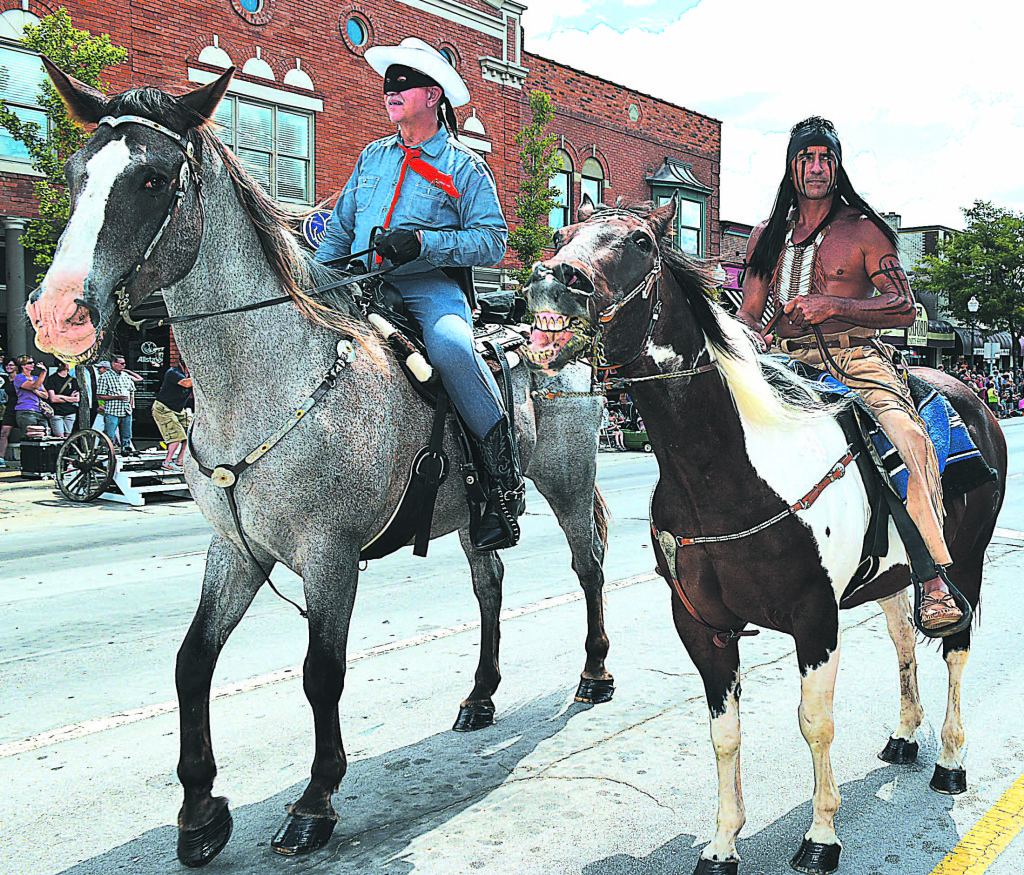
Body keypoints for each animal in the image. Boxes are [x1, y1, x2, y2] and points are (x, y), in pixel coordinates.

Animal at [28, 65, 610, 864]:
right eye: (74, 172)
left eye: (152, 178)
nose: (57, 315)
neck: (264, 379)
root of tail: (558, 339)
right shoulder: (236, 549)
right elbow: (191, 662)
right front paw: (200, 811)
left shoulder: (328, 553)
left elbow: (321, 673)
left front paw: (315, 801)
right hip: (474, 512)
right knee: (489, 584)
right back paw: (480, 694)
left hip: (570, 482)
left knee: (589, 567)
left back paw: (594, 673)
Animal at [524, 200, 1003, 875]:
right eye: (562, 232)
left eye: (641, 241)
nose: (553, 281)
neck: (728, 475)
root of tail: (977, 402)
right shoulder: (702, 627)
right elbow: (724, 733)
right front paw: (722, 843)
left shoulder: (815, 618)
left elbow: (815, 723)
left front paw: (821, 837)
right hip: (893, 574)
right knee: (905, 640)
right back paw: (905, 735)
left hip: (965, 563)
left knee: (955, 648)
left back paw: (950, 761)